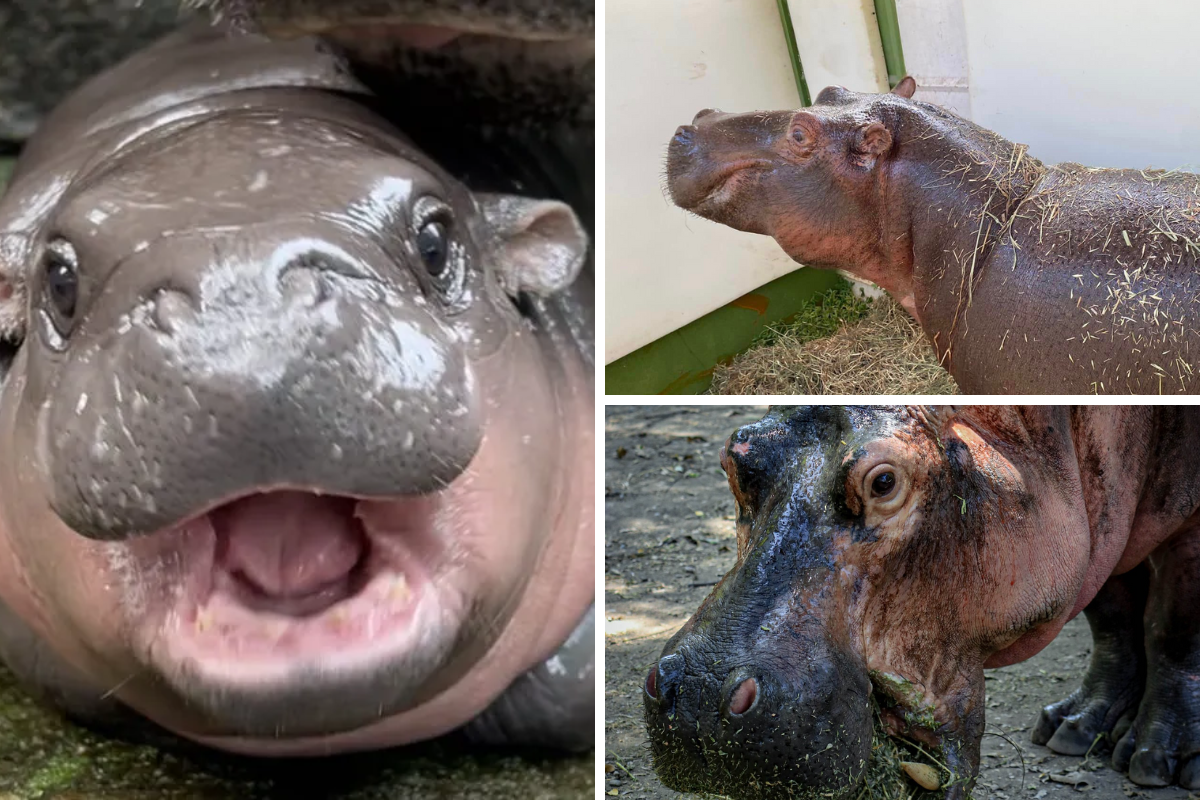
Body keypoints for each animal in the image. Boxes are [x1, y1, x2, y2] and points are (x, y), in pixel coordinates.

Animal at [648, 410, 1200, 796]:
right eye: (736, 459)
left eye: (884, 482)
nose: (698, 694)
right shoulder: (1102, 526)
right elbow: (1112, 616)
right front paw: (1073, 729)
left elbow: (1173, 628)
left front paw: (1156, 762)